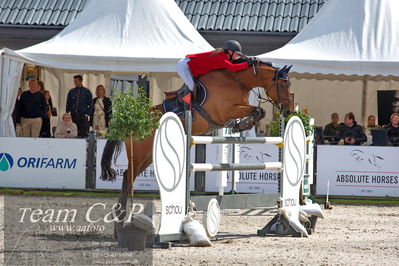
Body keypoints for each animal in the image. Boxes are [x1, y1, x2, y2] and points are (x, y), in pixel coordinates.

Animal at [101, 59, 294, 221]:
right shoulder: (225, 111)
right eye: (283, 83)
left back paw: (122, 214)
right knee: (128, 176)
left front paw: (240, 125)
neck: (238, 81)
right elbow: (256, 110)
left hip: (147, 155)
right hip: (140, 153)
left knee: (129, 176)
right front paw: (241, 125)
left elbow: (259, 111)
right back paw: (121, 214)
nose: (288, 110)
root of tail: (130, 122)